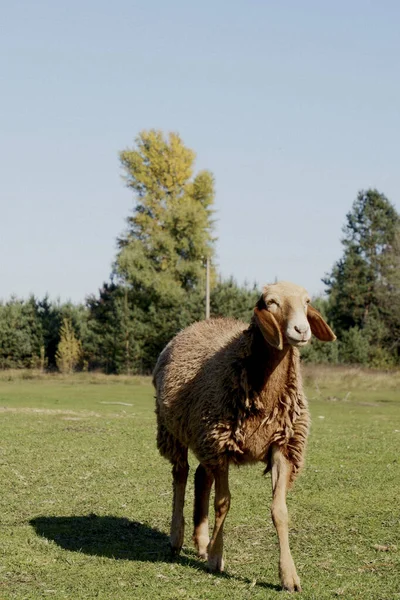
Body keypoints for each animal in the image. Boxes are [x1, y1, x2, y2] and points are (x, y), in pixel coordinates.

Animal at [152, 282, 334, 592]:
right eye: (271, 302)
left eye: (307, 301)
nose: (301, 330)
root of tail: (198, 324)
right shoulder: (222, 446)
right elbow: (223, 503)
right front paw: (216, 557)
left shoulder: (283, 446)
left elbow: (279, 511)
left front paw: (289, 576)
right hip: (175, 431)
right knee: (181, 474)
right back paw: (177, 538)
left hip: (205, 438)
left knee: (201, 476)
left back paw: (201, 542)